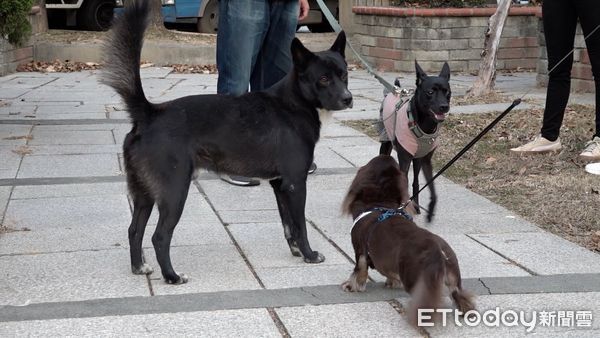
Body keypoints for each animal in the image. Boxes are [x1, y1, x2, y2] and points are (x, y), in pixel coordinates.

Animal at [100, 1, 350, 284]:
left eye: (344, 74)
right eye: (323, 79)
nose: (348, 98)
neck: (295, 103)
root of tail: (150, 113)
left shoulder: (281, 185)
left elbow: (289, 225)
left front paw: (296, 250)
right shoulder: (296, 184)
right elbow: (301, 225)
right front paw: (309, 254)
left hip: (144, 193)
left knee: (134, 230)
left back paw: (139, 267)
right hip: (175, 191)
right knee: (159, 236)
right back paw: (172, 276)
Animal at [342, 156, 474, 328]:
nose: (390, 155)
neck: (380, 204)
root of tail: (438, 250)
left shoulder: (360, 251)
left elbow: (359, 270)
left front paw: (351, 286)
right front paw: (391, 282)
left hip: (416, 280)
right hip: (453, 278)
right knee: (459, 295)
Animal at [380, 62, 450, 222]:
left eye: (447, 92)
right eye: (430, 92)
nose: (444, 106)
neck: (424, 126)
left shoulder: (426, 160)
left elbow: (431, 188)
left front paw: (430, 210)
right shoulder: (405, 159)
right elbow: (404, 183)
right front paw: (402, 209)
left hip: (417, 159)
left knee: (416, 181)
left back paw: (416, 206)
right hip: (386, 143)